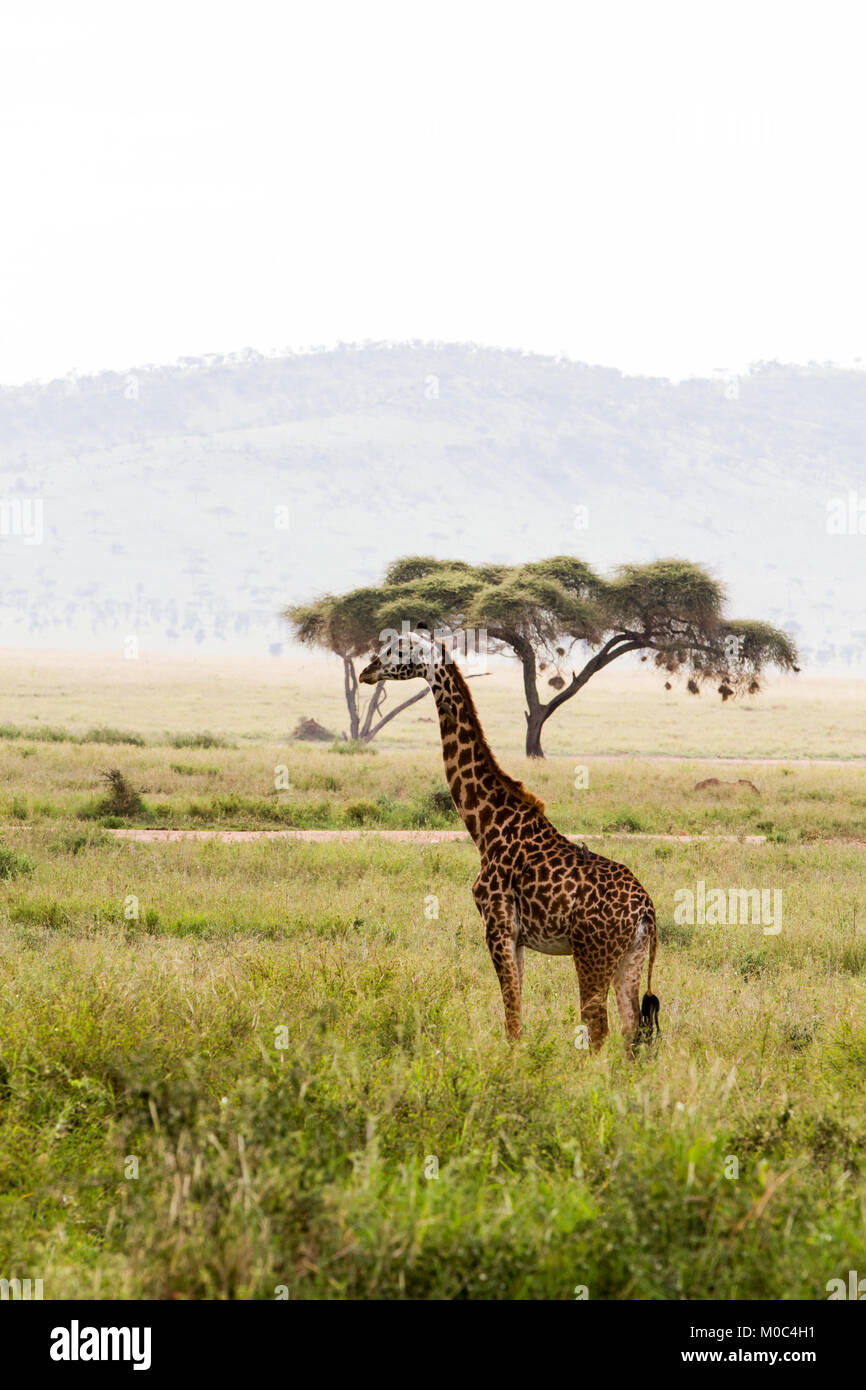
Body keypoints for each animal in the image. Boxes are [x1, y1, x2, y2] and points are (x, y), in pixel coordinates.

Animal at [358, 631, 656, 1050]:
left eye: (397, 650)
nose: (366, 671)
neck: (486, 826)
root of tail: (646, 910)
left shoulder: (497, 927)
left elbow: (513, 1023)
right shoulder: (517, 939)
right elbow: (517, 1014)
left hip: (592, 953)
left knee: (599, 1028)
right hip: (630, 956)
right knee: (632, 1031)